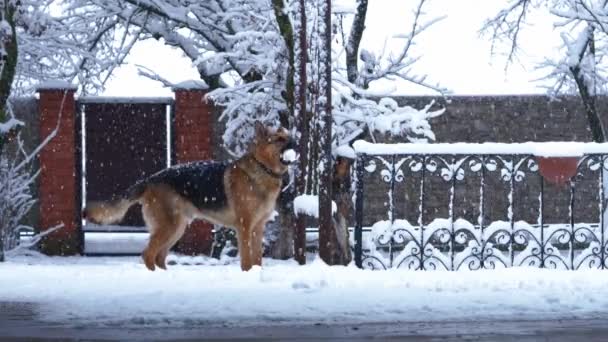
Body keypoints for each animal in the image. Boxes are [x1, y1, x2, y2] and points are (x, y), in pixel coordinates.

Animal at [83, 121, 296, 272]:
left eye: (288, 137)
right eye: (279, 139)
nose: (295, 143)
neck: (262, 168)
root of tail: (150, 179)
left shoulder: (258, 228)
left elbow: (258, 259)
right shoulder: (244, 228)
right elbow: (246, 260)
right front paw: (247, 275)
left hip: (176, 228)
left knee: (159, 257)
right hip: (168, 227)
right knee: (148, 255)